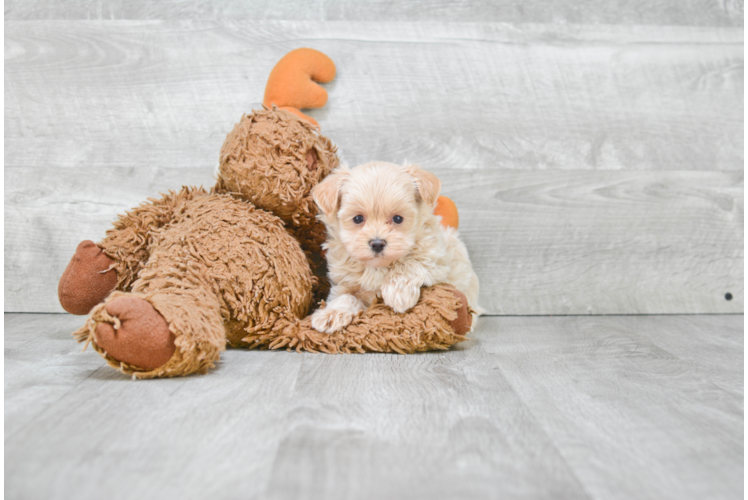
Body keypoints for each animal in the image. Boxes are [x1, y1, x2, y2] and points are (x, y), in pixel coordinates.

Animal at [310, 162, 480, 334]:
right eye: (357, 219)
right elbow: (346, 297)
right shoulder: (344, 283)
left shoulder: (439, 263)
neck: (378, 267)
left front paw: (398, 292)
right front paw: (331, 313)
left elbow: (410, 262)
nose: (377, 243)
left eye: (398, 218)